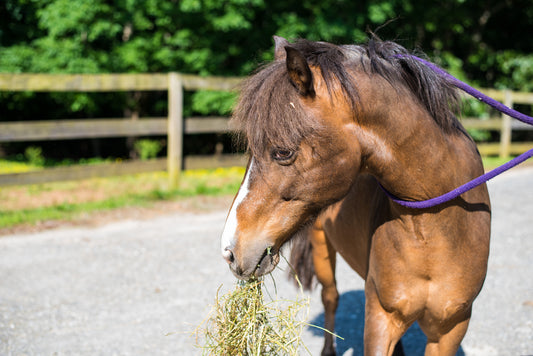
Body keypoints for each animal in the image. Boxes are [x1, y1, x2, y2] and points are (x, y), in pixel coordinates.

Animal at [220, 36, 490, 356]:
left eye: (283, 152)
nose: (229, 250)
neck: (438, 229)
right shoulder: (381, 320)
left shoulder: (450, 329)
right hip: (323, 251)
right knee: (331, 297)